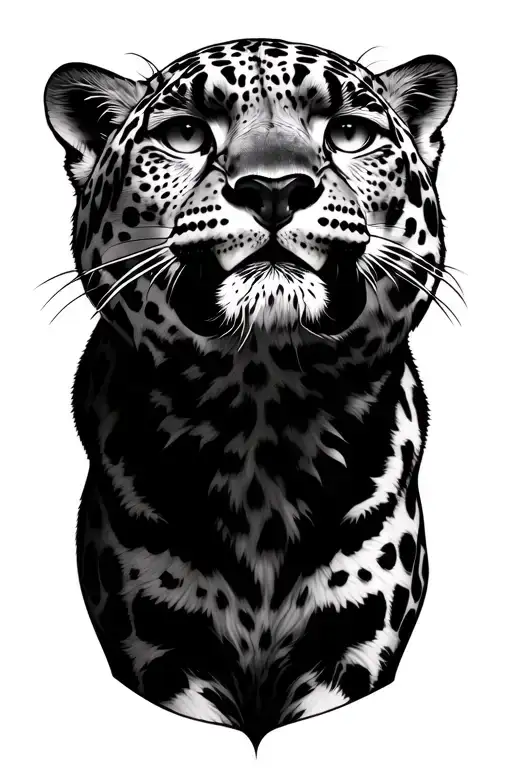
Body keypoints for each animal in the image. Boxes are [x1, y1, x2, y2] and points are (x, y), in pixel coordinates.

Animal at [44, 38, 458, 750]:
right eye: (185, 134)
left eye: (349, 133)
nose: (273, 190)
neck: (263, 423)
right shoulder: (162, 647)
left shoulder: (353, 643)